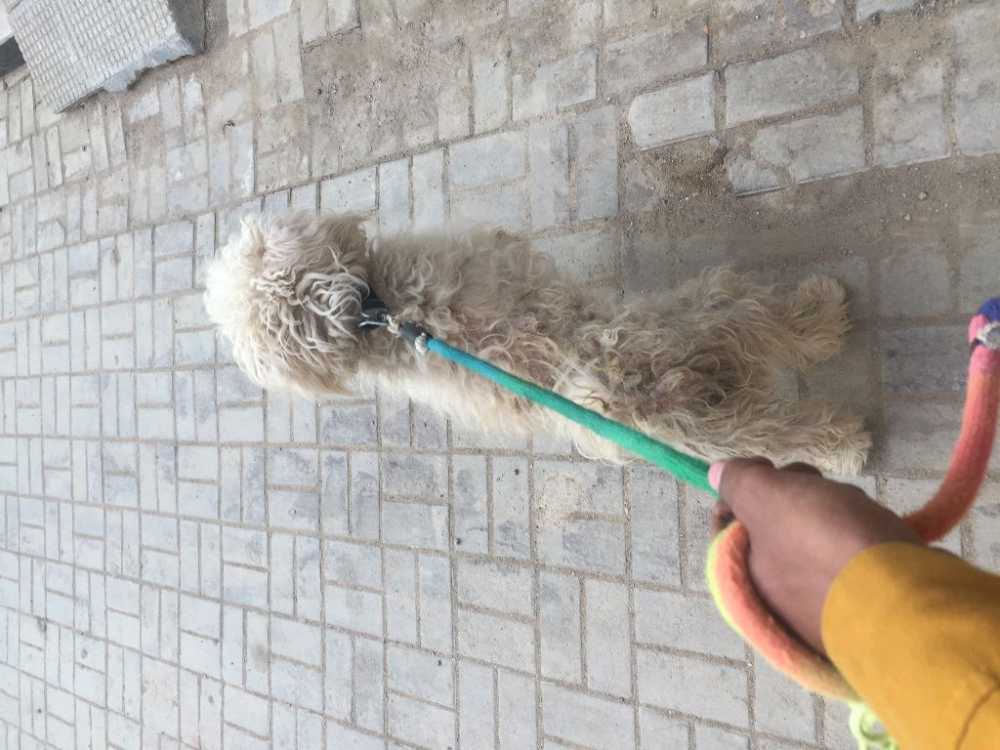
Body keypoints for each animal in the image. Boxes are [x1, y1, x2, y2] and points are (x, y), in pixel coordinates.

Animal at [204, 212, 871, 475]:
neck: (374, 316)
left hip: (705, 329)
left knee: (768, 337)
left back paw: (821, 320)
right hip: (703, 377)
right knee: (773, 420)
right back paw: (845, 439)